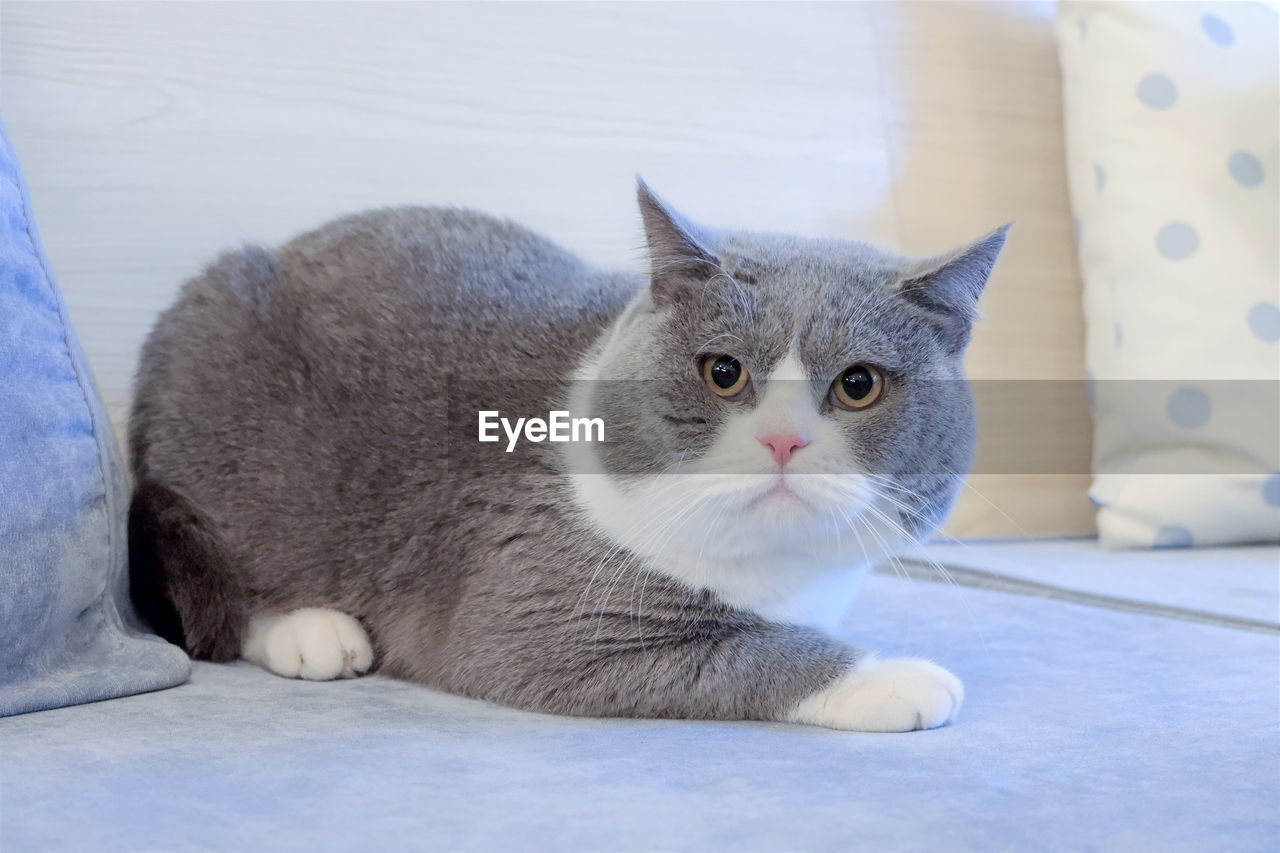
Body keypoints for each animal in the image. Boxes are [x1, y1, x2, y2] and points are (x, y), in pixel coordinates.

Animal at [132, 180, 1008, 732]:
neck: (773, 575)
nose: (783, 438)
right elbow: (751, 651)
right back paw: (312, 632)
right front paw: (895, 678)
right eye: (723, 372)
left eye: (858, 385)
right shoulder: (543, 613)